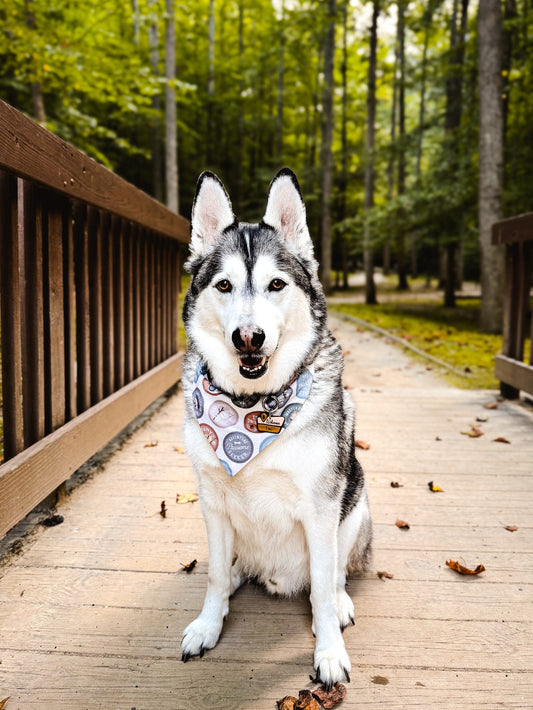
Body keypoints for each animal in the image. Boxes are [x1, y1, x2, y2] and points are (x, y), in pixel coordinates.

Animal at [180, 168, 372, 688]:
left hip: (357, 501)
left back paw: (339, 604)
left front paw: (329, 651)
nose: (248, 337)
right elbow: (214, 576)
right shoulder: (212, 502)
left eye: (276, 284)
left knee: (335, 575)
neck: (251, 408)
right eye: (224, 285)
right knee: (232, 567)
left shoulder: (322, 508)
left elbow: (322, 589)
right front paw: (208, 625)